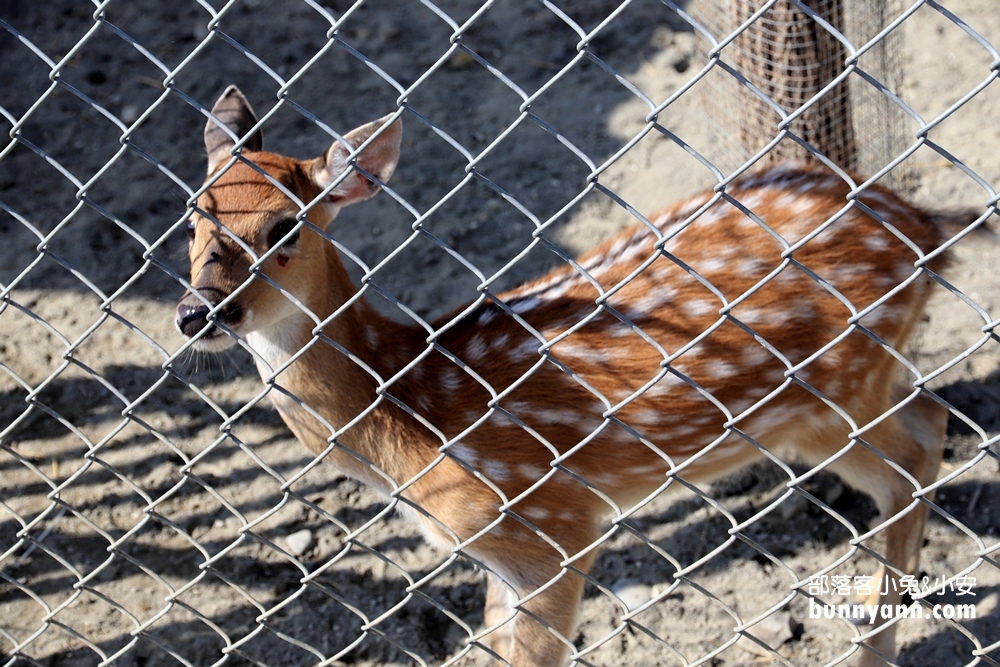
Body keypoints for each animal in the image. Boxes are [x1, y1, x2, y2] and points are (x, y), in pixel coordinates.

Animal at [174, 86, 968, 664]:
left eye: (284, 226)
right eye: (192, 215)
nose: (197, 311)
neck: (410, 406)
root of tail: (926, 228)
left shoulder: (552, 526)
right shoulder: (498, 553)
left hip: (833, 396)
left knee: (915, 450)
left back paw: (874, 646)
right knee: (927, 422)